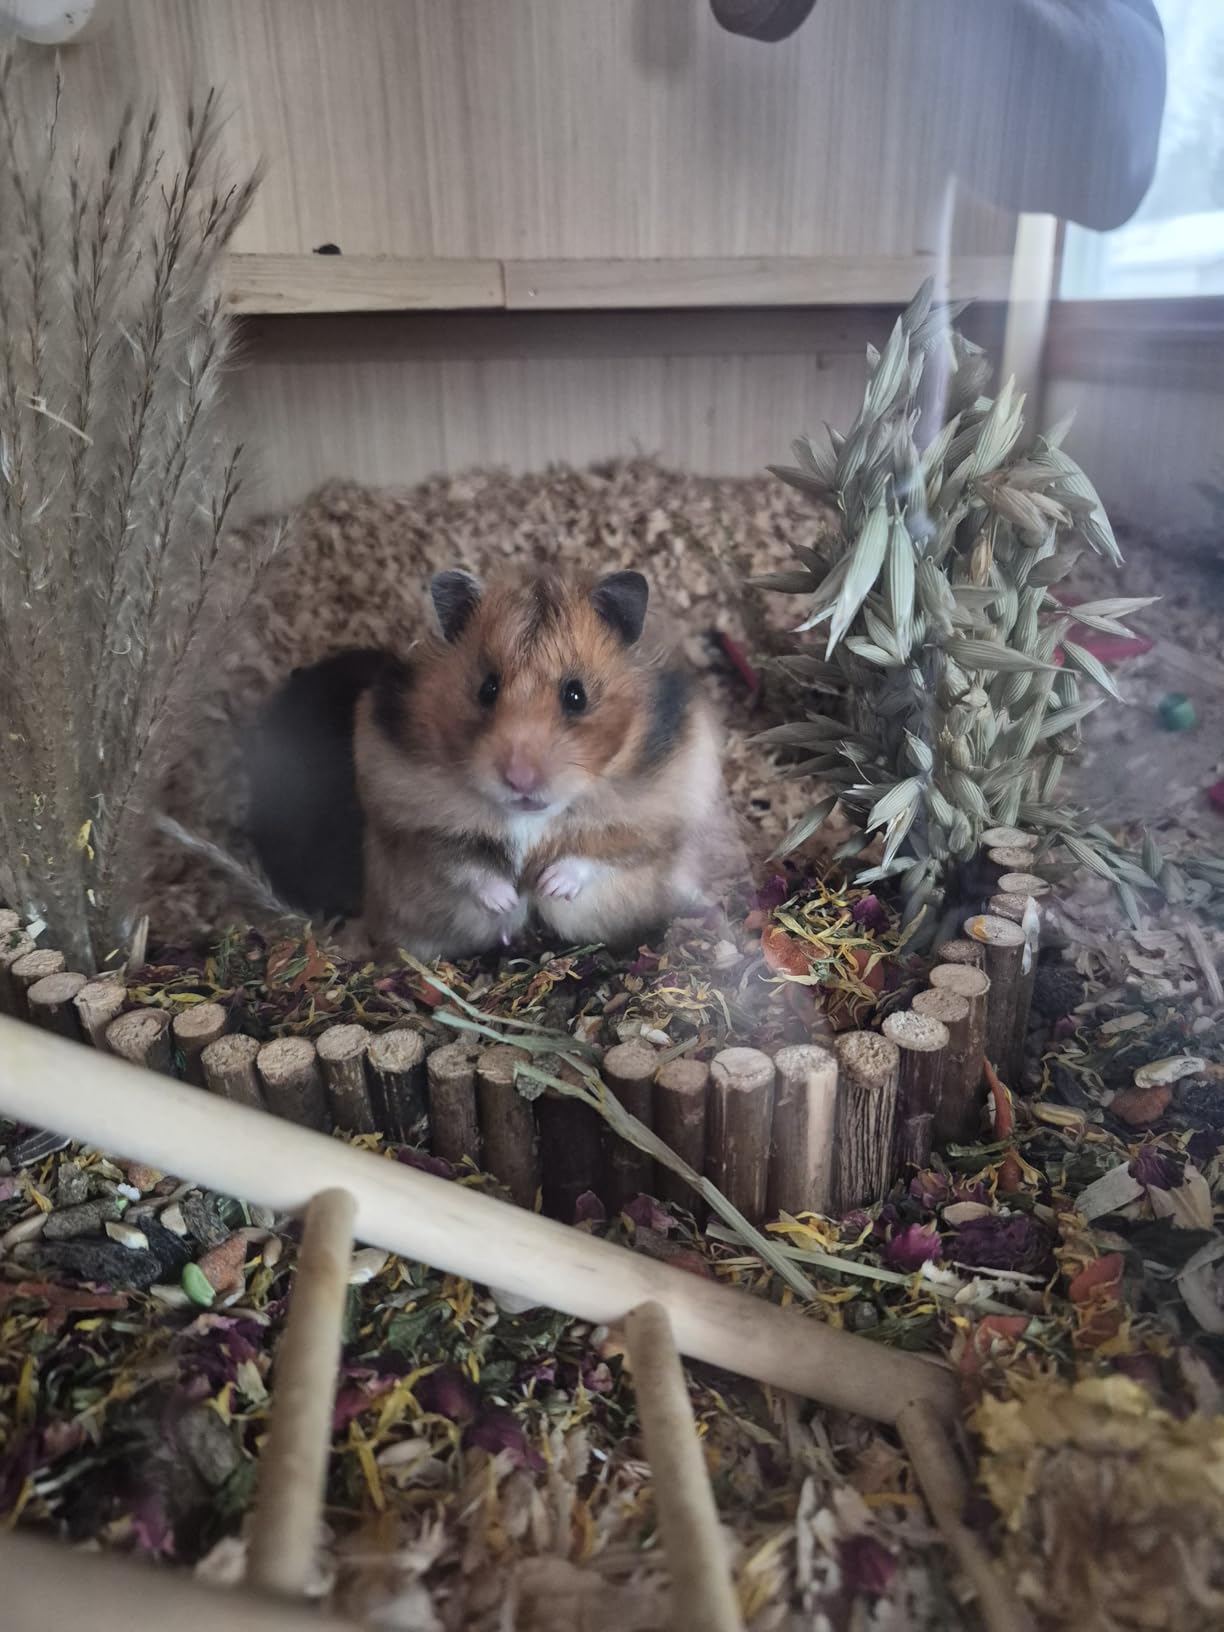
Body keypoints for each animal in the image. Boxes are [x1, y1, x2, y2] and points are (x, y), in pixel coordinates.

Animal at [353, 564, 727, 961]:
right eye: (487, 688)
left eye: (576, 695)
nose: (520, 779)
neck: (531, 818)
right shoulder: (415, 825)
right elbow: (464, 865)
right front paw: (508, 902)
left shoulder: (653, 822)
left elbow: (601, 854)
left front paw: (549, 887)